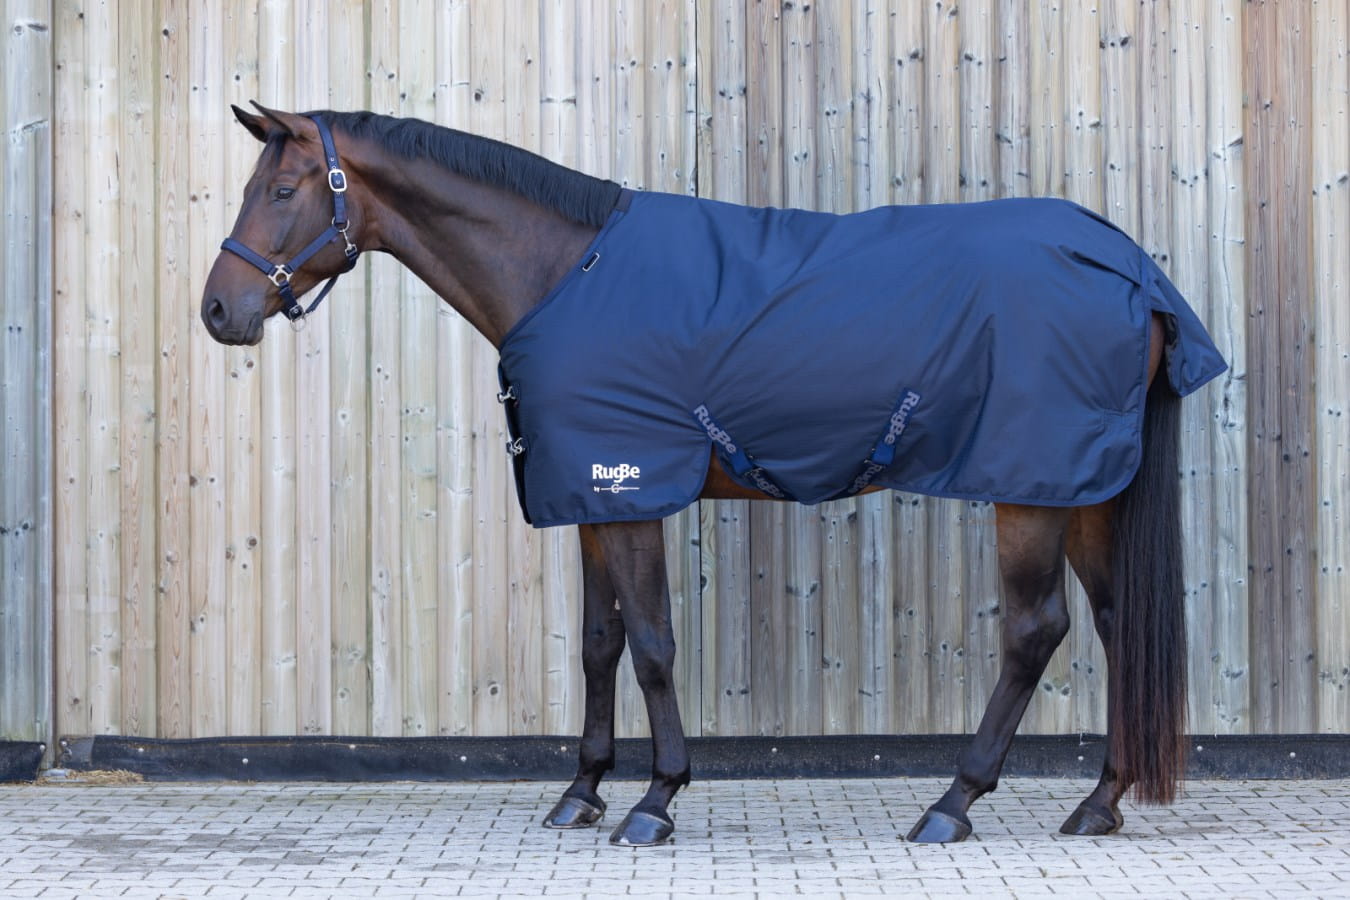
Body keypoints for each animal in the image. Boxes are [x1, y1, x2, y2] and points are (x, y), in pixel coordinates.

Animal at [201, 103, 1226, 847]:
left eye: (284, 188)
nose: (219, 310)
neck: (567, 271)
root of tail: (1130, 268)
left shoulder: (630, 490)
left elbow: (653, 645)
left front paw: (655, 800)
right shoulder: (589, 495)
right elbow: (600, 644)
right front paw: (582, 791)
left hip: (1030, 488)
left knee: (1034, 631)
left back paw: (952, 805)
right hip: (1083, 490)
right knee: (1118, 625)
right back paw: (1098, 803)